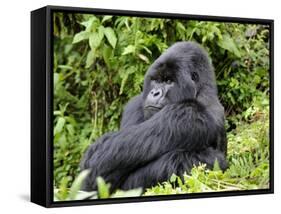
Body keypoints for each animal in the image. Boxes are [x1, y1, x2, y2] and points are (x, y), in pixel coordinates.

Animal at [79, 41, 228, 192]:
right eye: (156, 80)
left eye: (168, 81)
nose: (155, 93)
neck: (202, 91)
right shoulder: (135, 104)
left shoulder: (189, 113)